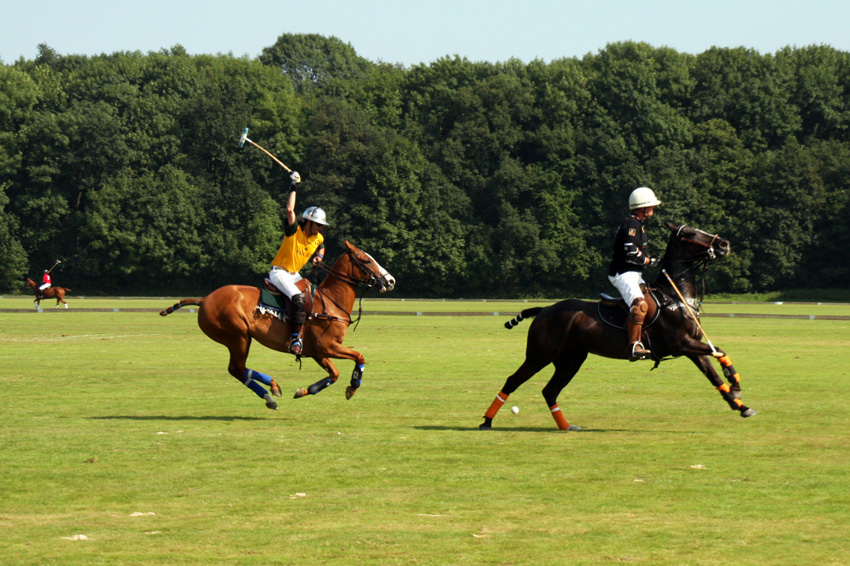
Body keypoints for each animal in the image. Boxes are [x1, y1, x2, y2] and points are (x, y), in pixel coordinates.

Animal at [159, 242, 394, 410]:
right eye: (366, 260)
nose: (391, 281)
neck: (331, 302)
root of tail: (204, 299)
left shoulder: (318, 352)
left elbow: (334, 374)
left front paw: (304, 390)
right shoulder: (328, 346)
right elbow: (360, 356)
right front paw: (353, 387)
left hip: (239, 338)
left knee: (238, 369)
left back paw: (271, 390)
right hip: (238, 336)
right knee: (237, 368)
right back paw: (270, 392)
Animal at [476, 222, 756, 430]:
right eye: (690, 234)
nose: (724, 244)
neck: (675, 297)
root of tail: (543, 310)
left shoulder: (691, 347)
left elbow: (714, 370)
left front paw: (739, 402)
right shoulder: (682, 344)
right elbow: (720, 352)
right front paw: (736, 386)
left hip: (571, 360)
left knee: (549, 391)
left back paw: (566, 426)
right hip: (539, 354)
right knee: (513, 380)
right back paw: (487, 421)